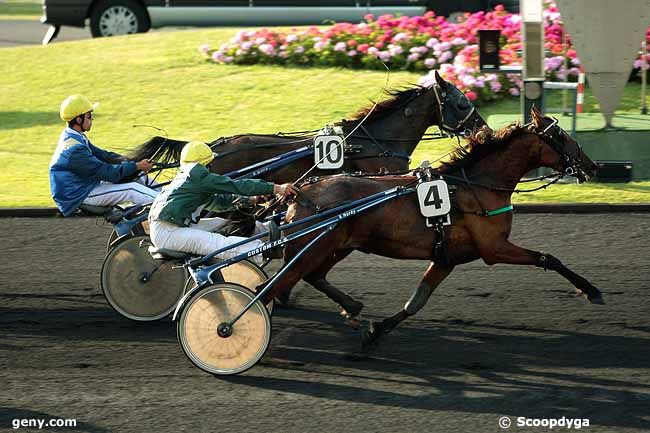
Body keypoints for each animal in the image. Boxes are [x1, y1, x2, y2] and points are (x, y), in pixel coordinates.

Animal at [266, 106, 600, 346]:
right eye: (562, 136)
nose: (593, 166)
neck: (477, 186)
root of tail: (300, 191)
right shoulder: (494, 248)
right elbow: (548, 258)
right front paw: (591, 290)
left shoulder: (446, 258)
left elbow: (417, 301)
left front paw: (376, 331)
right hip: (315, 248)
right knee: (274, 286)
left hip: (337, 246)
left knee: (313, 276)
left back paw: (351, 306)